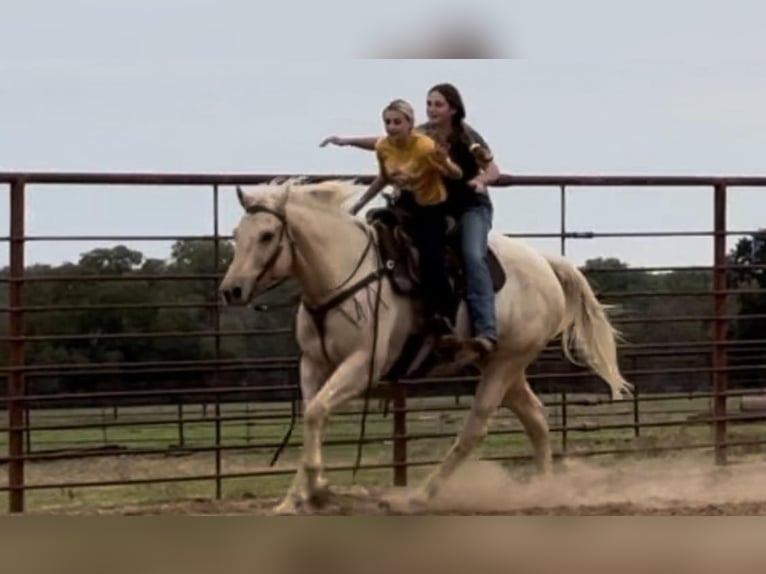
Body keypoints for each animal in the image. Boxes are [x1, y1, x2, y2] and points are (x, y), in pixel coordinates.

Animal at [220, 178, 632, 516]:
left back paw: (421, 495)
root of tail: (545, 265)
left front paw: (318, 490)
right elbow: (311, 415)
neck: (342, 276)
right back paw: (544, 491)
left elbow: (317, 412)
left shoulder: (363, 364)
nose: (231, 290)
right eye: (237, 234)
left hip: (505, 364)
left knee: (476, 428)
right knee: (535, 417)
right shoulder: (313, 364)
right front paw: (294, 499)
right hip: (501, 365)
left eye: (267, 235)